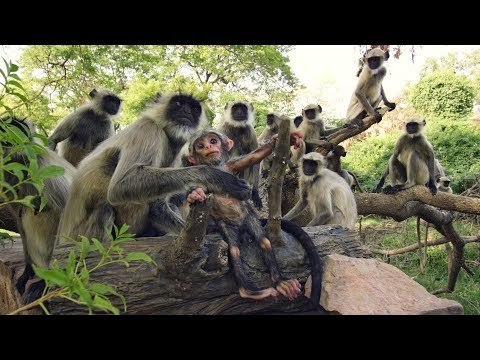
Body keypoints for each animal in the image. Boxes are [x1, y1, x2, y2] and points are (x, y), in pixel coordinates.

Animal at [0, 116, 75, 304]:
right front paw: (28, 271)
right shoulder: (10, 177)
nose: (19, 142)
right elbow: (18, 217)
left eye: (19, 131)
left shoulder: (43, 166)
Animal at [56, 92, 251, 245]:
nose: (186, 112)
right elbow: (121, 185)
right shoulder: (148, 130)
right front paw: (216, 177)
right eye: (178, 103)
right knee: (105, 208)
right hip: (80, 236)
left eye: (194, 108)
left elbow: (158, 206)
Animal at [184, 129, 322, 304]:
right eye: (200, 145)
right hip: (227, 225)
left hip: (248, 217)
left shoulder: (231, 165)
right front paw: (195, 195)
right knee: (233, 249)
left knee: (264, 240)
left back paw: (280, 282)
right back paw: (249, 292)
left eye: (213, 141)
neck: (216, 167)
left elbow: (253, 157)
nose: (208, 147)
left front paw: (285, 139)